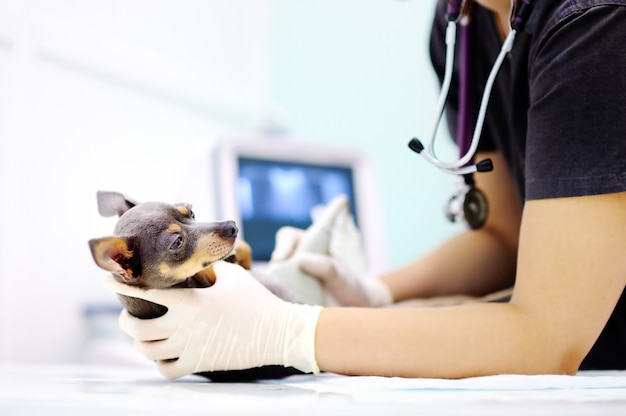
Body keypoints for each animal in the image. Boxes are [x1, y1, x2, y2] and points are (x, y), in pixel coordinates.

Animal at [89, 192, 298, 380]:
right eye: (177, 242)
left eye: (191, 212)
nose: (231, 226)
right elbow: (209, 267)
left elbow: (243, 251)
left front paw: (235, 252)